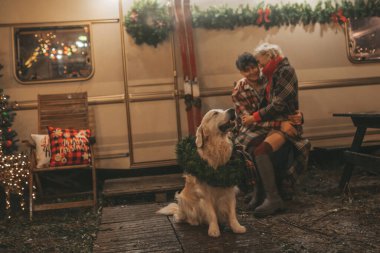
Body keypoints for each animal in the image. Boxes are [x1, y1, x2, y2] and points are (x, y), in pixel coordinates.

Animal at [157, 108, 246, 237]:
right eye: (215, 113)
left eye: (222, 109)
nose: (232, 110)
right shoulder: (205, 194)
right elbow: (212, 214)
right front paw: (214, 230)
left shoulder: (229, 189)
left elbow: (232, 213)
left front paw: (237, 227)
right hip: (182, 199)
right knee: (179, 216)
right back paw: (192, 221)